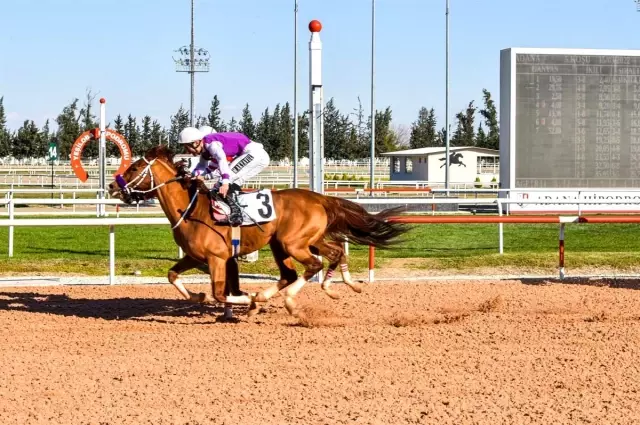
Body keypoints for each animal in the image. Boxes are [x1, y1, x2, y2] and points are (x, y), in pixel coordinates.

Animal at [107, 146, 408, 314]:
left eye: (135, 167)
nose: (111, 186)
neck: (192, 209)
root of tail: (320, 198)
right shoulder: (195, 256)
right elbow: (172, 276)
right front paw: (199, 296)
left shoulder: (217, 258)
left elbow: (221, 292)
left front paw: (247, 300)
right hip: (294, 242)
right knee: (324, 258)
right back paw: (339, 286)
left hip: (292, 242)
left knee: (312, 265)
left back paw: (288, 300)